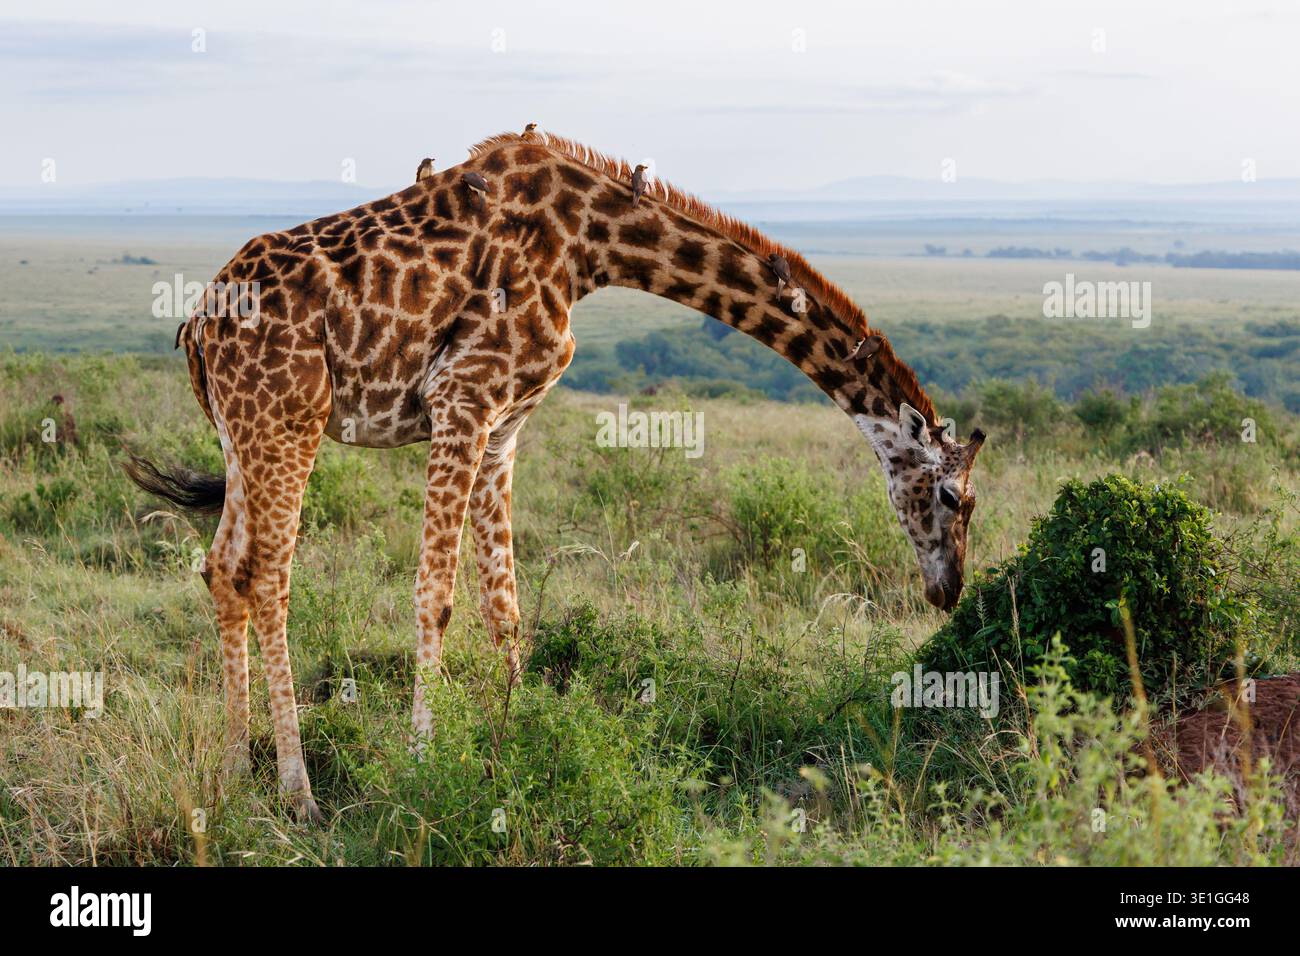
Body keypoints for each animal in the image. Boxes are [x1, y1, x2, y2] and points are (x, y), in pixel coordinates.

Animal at [126, 130, 986, 821]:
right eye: (954, 497)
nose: (948, 590)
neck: (593, 244)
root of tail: (197, 325)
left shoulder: (504, 427)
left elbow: (503, 605)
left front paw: (515, 740)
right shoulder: (463, 397)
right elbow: (435, 595)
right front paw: (422, 763)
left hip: (243, 432)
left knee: (222, 569)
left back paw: (237, 772)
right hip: (288, 419)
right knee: (269, 576)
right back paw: (297, 792)